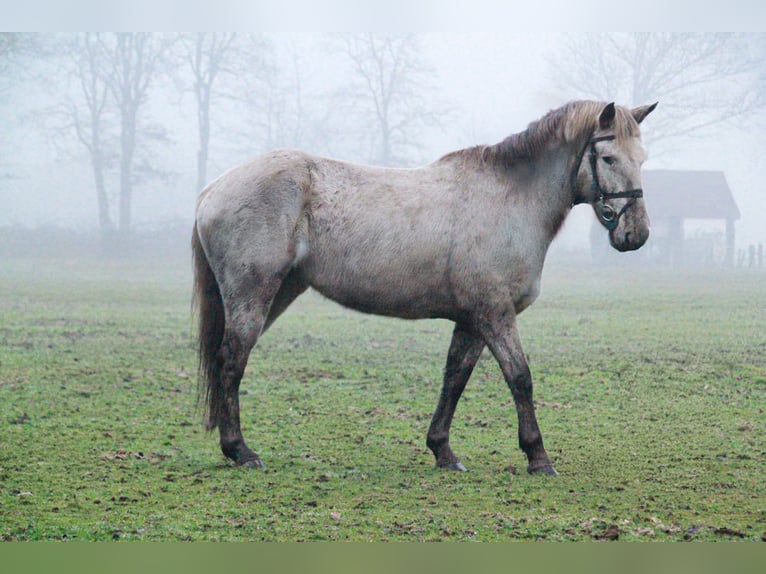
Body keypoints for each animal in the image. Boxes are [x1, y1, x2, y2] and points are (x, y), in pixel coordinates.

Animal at [195, 100, 656, 476]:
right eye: (609, 157)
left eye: (642, 158)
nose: (636, 234)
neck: (508, 200)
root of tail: (211, 190)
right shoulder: (495, 313)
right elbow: (519, 377)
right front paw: (538, 457)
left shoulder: (472, 320)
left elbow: (454, 379)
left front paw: (443, 452)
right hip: (253, 295)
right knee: (231, 360)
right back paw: (240, 451)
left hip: (279, 293)